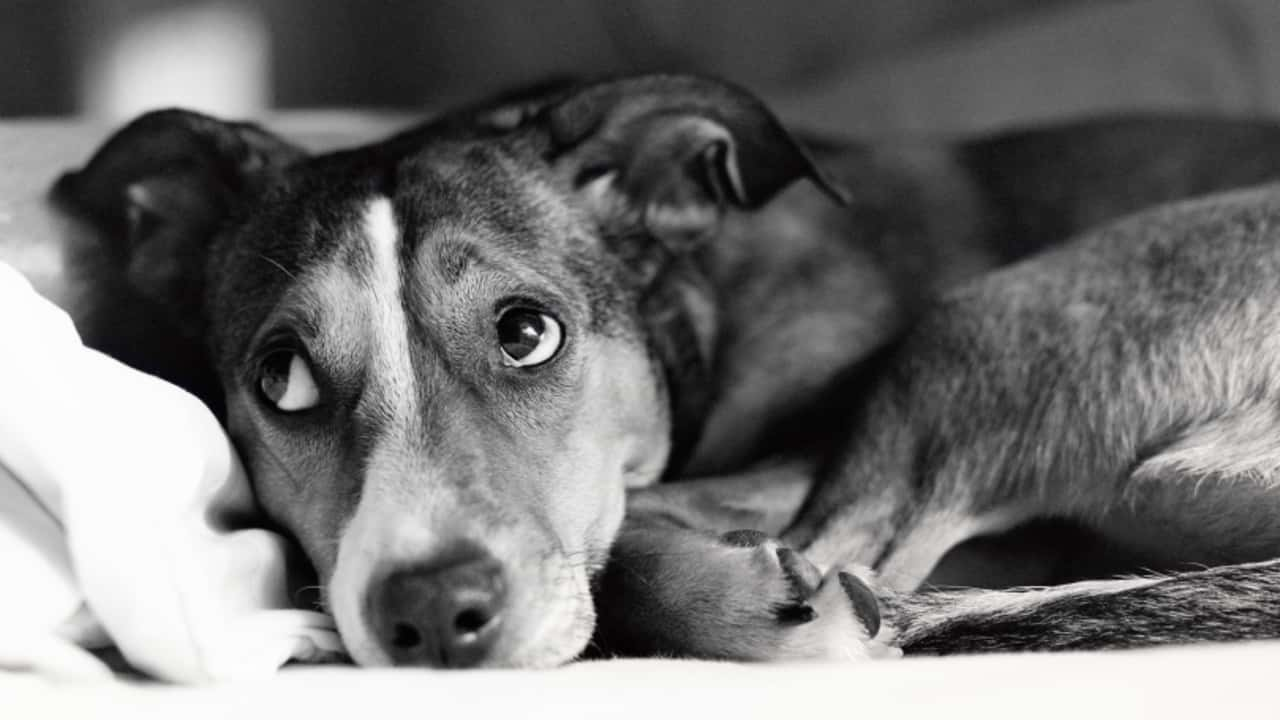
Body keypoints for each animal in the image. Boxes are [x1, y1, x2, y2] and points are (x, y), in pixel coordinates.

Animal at [52, 73, 1280, 666]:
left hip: (970, 338)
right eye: (284, 380)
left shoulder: (802, 450)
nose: (432, 616)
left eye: (527, 333)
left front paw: (758, 601)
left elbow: (629, 536)